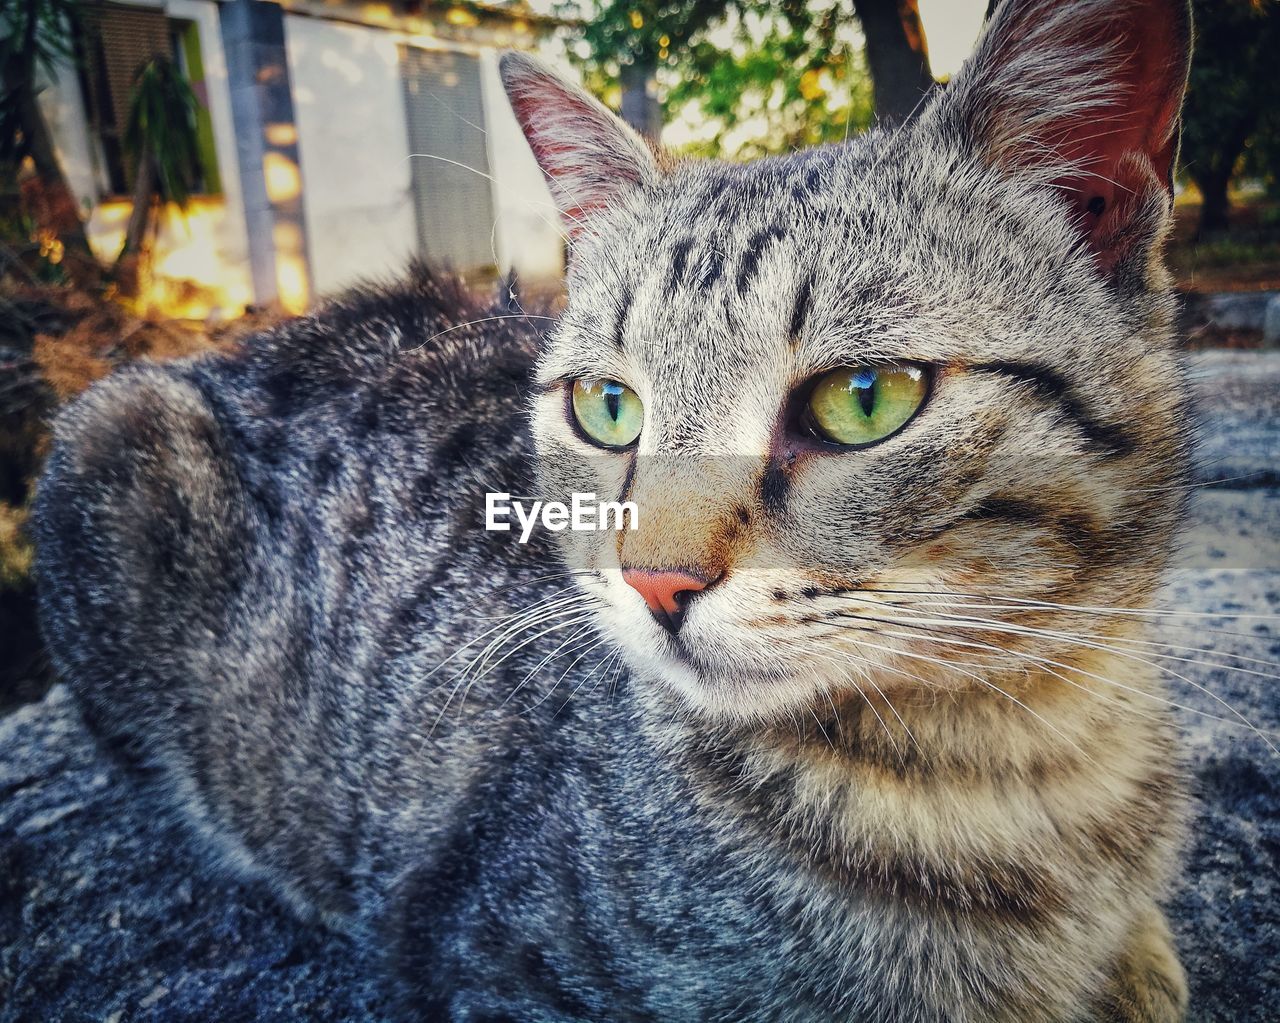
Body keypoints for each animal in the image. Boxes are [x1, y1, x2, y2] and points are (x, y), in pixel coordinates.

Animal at [35, 0, 1192, 1019]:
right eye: (607, 406)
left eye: (864, 399)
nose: (654, 580)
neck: (1025, 755)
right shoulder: (493, 959)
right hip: (112, 436)